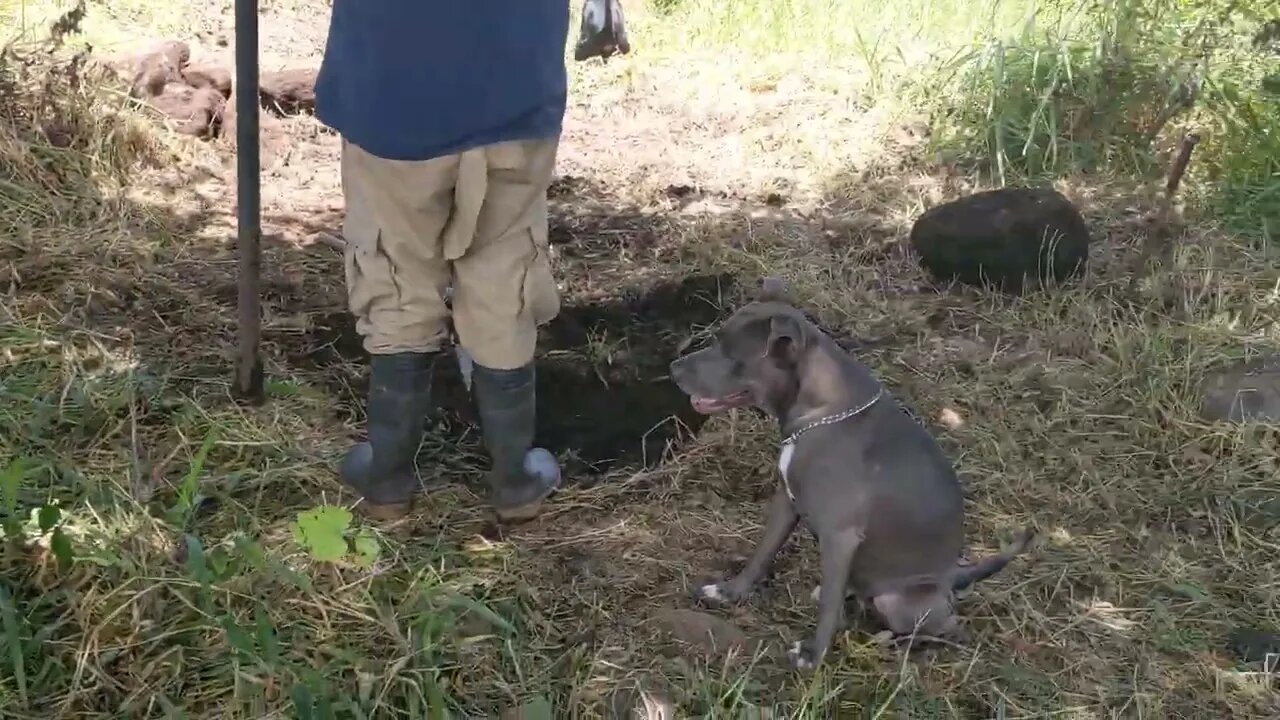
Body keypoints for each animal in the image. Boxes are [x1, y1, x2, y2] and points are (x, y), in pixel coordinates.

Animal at [665, 279, 1034, 666]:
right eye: (716, 339)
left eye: (731, 355)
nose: (673, 367)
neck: (820, 411)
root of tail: (952, 579)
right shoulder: (787, 501)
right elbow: (762, 553)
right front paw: (729, 592)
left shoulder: (840, 534)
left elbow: (828, 604)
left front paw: (813, 655)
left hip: (899, 600)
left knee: (947, 629)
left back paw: (892, 640)